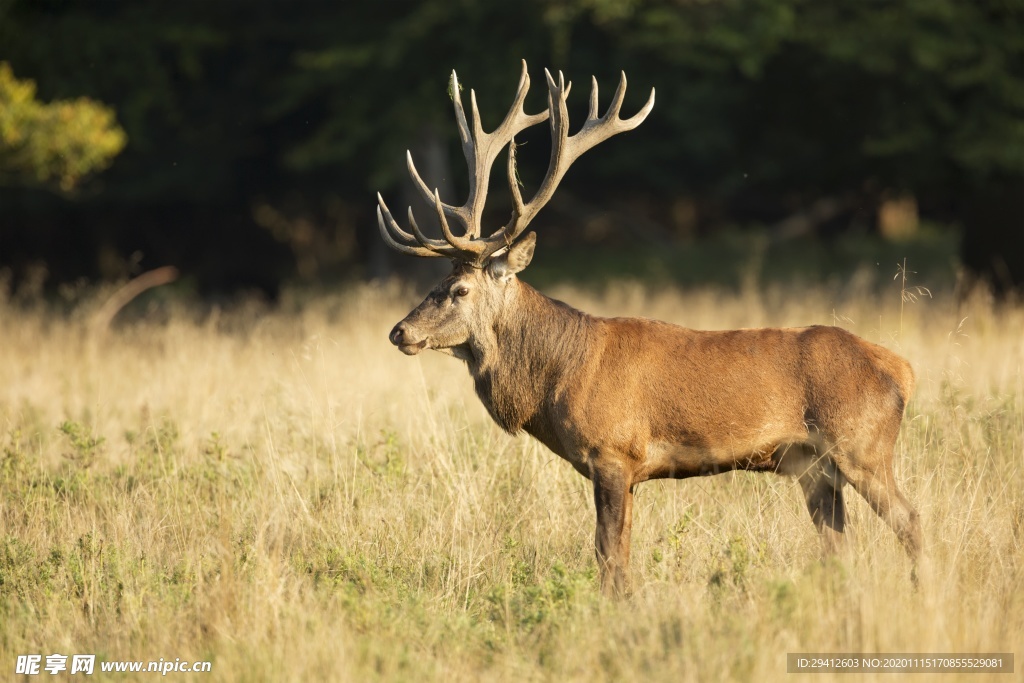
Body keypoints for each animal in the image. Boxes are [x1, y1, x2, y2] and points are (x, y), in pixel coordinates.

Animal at [374, 61, 921, 593]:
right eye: (438, 282)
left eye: (460, 290)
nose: (399, 331)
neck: (557, 376)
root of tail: (903, 370)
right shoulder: (630, 470)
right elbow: (620, 553)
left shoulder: (613, 451)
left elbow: (608, 555)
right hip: (813, 466)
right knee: (840, 545)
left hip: (861, 445)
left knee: (910, 519)